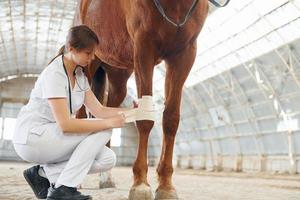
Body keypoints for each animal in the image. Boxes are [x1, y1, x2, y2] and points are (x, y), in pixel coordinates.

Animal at [74, 0, 230, 198]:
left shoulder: (184, 54)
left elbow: (171, 118)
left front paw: (166, 186)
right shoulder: (144, 48)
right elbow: (145, 118)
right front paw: (140, 184)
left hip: (118, 75)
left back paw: (106, 178)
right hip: (87, 65)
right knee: (80, 115)